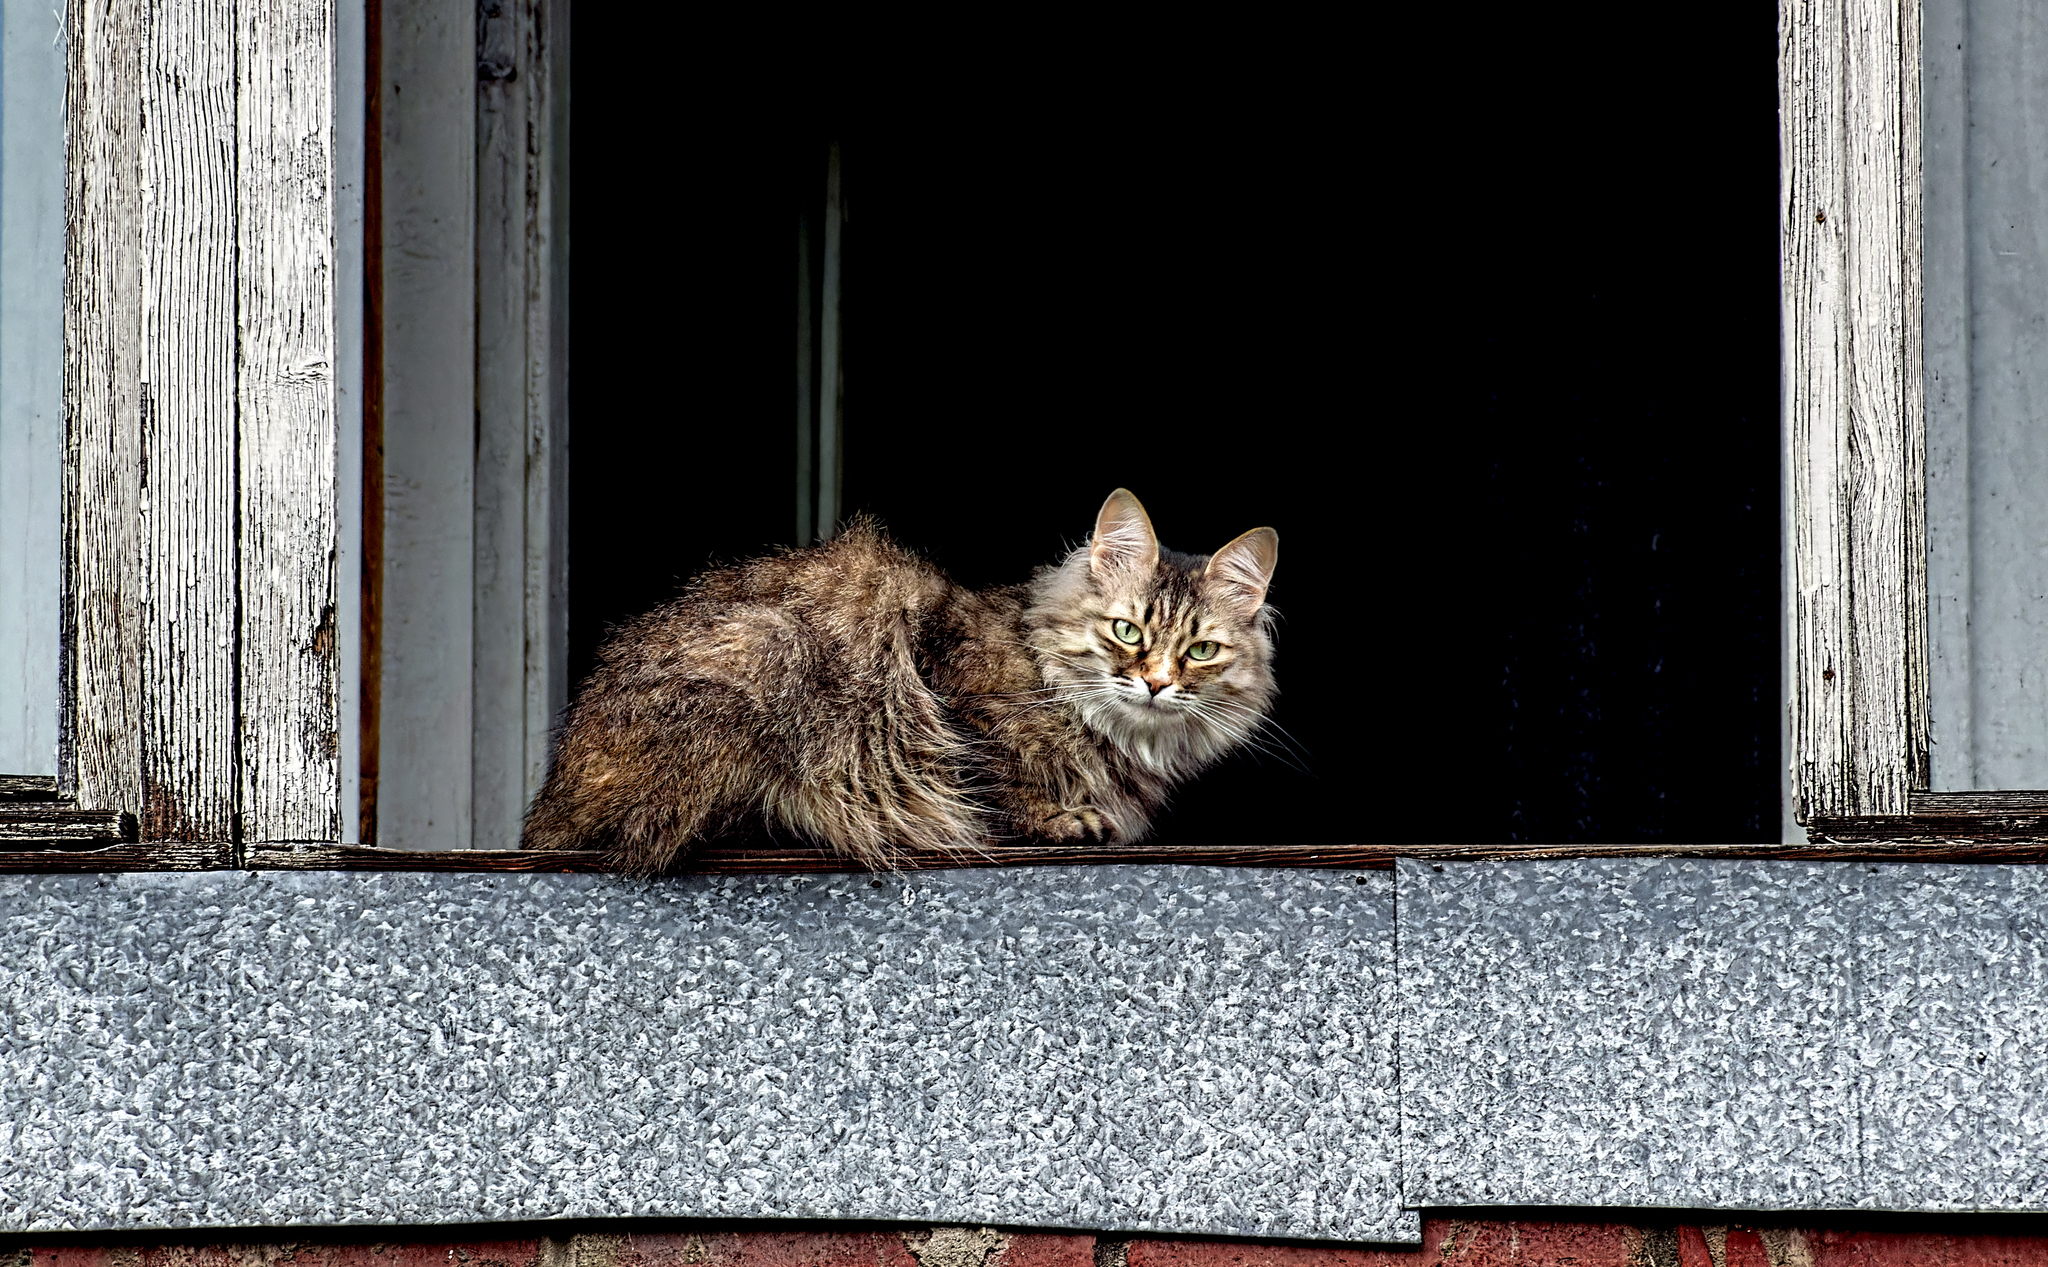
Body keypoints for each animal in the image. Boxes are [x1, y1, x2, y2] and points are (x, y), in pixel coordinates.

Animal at [520, 491, 1269, 876]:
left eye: (1200, 650)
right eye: (1128, 632)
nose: (1156, 683)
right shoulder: (950, 690)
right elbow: (996, 778)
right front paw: (1063, 817)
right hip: (774, 652)